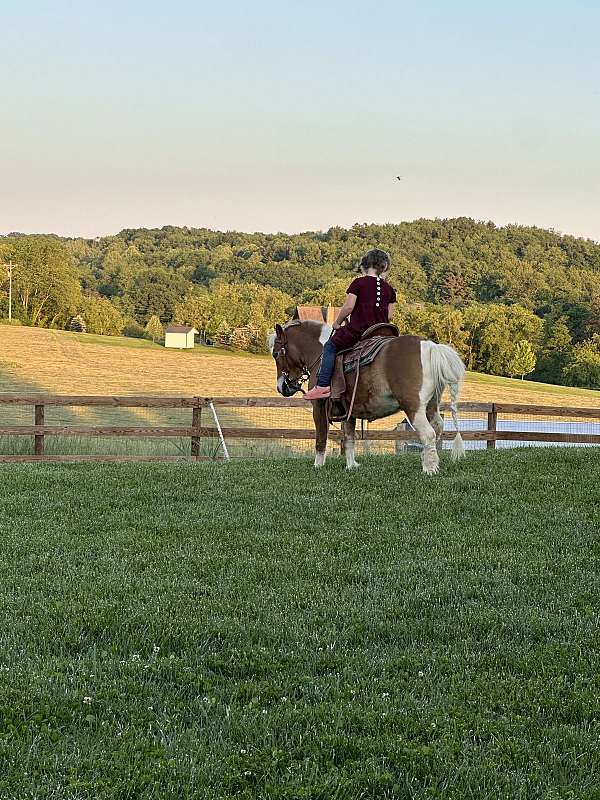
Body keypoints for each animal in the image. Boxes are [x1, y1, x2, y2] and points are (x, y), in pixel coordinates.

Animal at [268, 320, 468, 476]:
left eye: (276, 354)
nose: (281, 386)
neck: (320, 352)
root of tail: (430, 346)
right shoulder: (348, 412)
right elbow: (349, 438)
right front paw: (351, 466)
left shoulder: (319, 407)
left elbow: (321, 438)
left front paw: (318, 465)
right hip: (431, 406)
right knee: (437, 428)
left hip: (413, 408)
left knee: (427, 434)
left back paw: (429, 469)